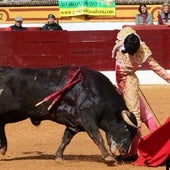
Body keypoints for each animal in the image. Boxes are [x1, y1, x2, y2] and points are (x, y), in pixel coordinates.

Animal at [0, 66, 137, 163]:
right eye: (126, 128)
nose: (124, 151)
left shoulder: (74, 124)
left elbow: (66, 139)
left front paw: (59, 157)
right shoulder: (87, 118)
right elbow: (97, 136)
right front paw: (108, 157)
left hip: (16, 113)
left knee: (2, 123)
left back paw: (3, 148)